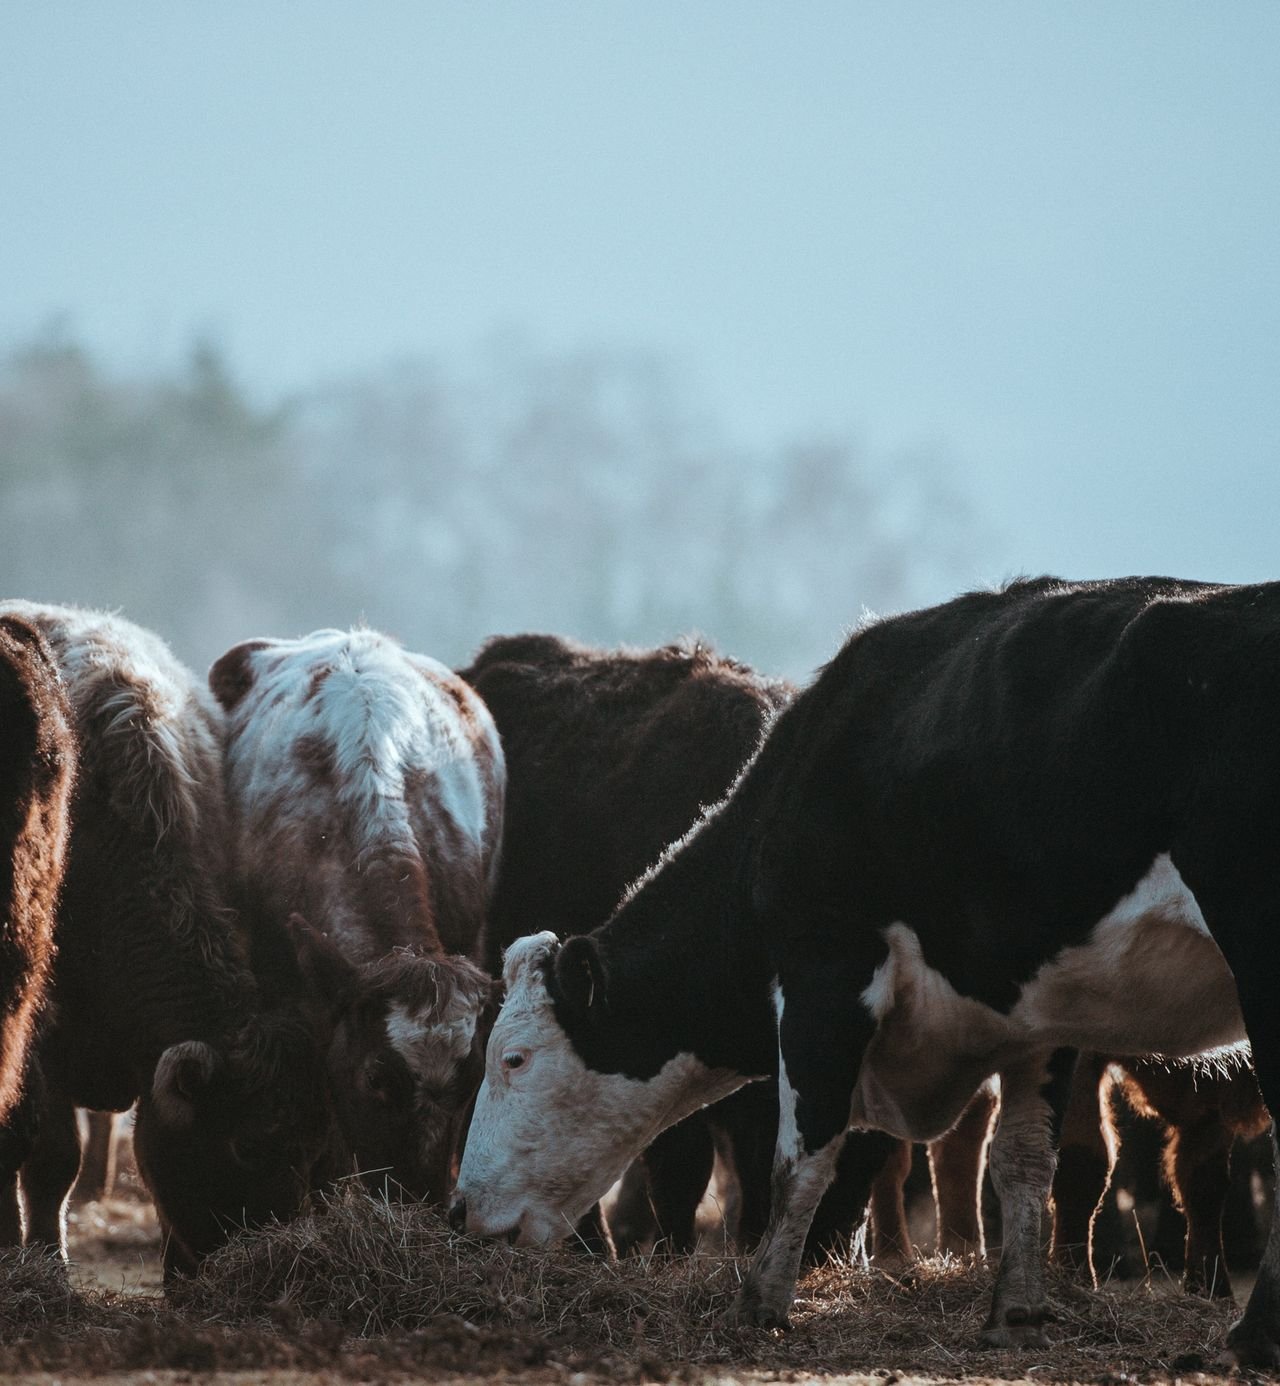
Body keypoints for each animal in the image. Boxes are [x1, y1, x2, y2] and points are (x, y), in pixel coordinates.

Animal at [0, 602, 337, 1276]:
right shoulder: (40, 1037)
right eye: (245, 1146)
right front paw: (47, 1263)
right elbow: (50, 1157)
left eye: (312, 1149)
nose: (280, 1245)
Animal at [453, 577, 1280, 1366]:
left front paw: (761, 1301)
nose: (461, 1209)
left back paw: (1252, 1334)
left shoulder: (826, 980)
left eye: (514, 1058)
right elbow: (1021, 1160)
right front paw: (1013, 1313)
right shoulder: (1033, 1023)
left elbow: (799, 1158)